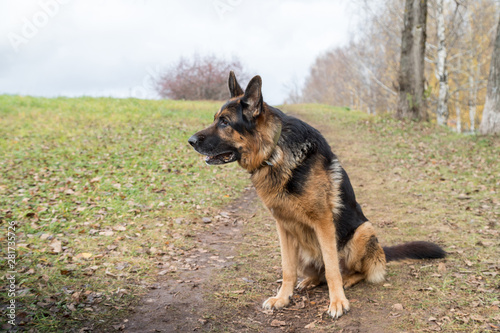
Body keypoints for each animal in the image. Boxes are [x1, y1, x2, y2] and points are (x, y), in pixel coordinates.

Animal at [188, 72, 446, 316]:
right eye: (215, 119)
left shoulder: (323, 222)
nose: (190, 141)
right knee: (317, 273)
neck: (274, 152)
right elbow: (287, 269)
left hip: (363, 231)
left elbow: (332, 269)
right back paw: (310, 281)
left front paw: (338, 302)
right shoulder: (283, 226)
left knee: (356, 271)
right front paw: (282, 298)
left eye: (224, 122)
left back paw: (348, 279)